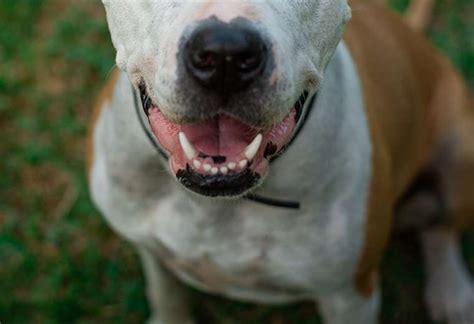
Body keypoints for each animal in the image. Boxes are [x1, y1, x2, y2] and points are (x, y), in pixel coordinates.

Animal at [89, 0, 474, 322]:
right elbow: (164, 292)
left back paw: (452, 291)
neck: (217, 202)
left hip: (461, 154)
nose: (225, 54)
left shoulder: (351, 293)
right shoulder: (147, 245)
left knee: (441, 230)